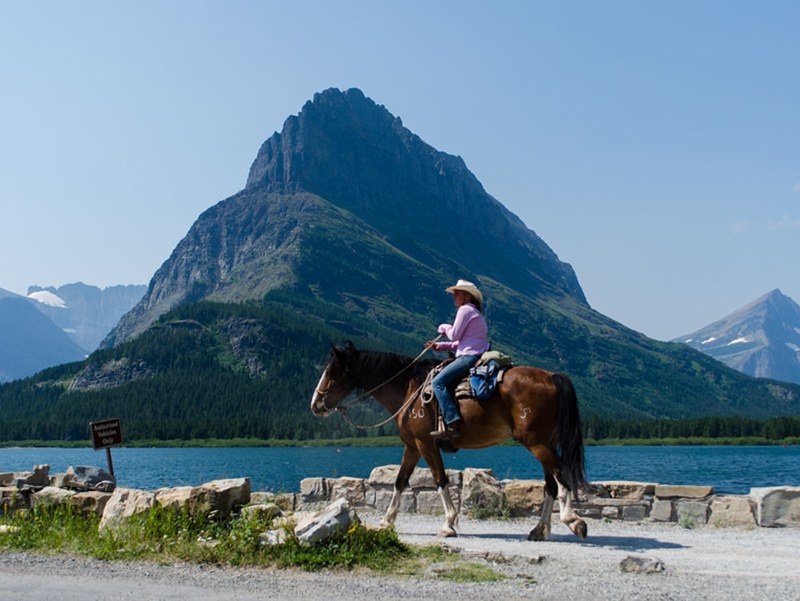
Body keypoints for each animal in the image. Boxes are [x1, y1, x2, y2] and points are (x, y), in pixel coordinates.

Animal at [310, 340, 592, 540]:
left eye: (331, 371)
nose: (315, 404)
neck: (409, 390)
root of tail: (551, 376)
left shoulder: (426, 444)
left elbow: (440, 479)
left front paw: (448, 524)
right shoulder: (412, 446)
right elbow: (400, 481)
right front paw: (386, 521)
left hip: (536, 443)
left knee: (562, 474)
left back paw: (572, 519)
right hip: (544, 442)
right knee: (551, 484)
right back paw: (539, 530)